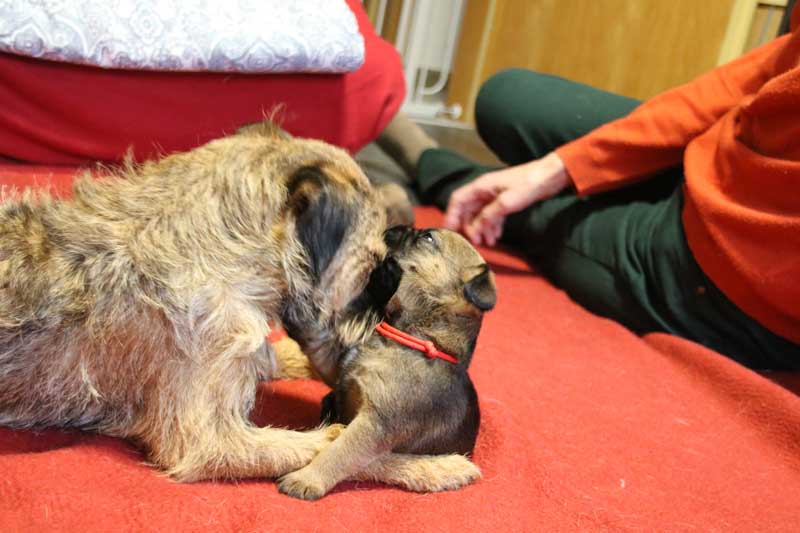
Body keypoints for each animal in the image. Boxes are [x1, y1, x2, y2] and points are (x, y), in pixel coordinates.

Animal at [277, 225, 496, 500]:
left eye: (427, 238)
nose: (393, 228)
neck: (409, 339)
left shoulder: (374, 425)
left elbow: (339, 451)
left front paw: (306, 478)